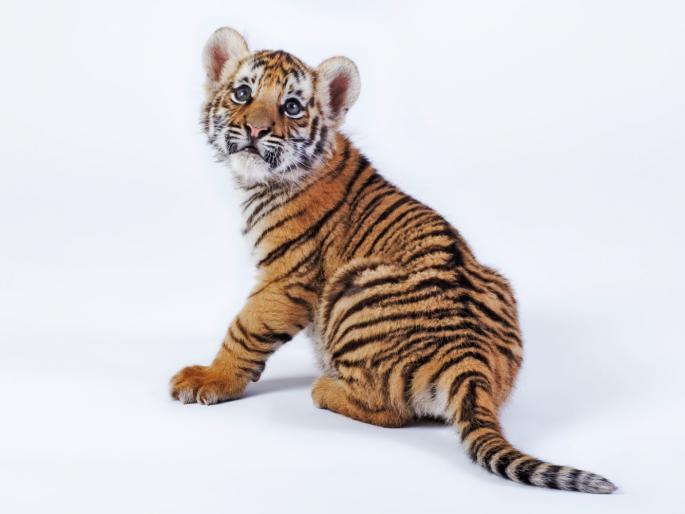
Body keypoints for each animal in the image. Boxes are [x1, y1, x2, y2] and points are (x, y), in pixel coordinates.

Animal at [170, 27, 617, 494]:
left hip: (352, 285)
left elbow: (245, 329)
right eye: (242, 93)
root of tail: (468, 360)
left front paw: (209, 379)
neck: (264, 180)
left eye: (291, 106)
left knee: (393, 412)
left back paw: (324, 388)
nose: (255, 129)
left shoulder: (286, 278)